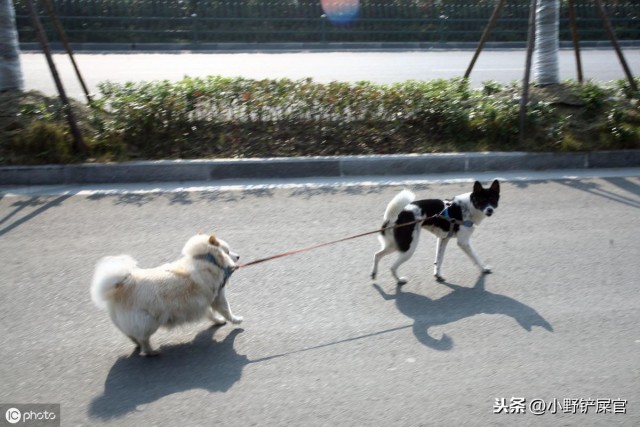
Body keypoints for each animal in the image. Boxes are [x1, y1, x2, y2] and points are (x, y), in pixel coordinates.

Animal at [89, 232, 241, 356]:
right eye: (228, 251)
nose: (238, 256)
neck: (206, 259)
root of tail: (122, 284)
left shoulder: (204, 301)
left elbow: (210, 314)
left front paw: (218, 321)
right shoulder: (218, 297)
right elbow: (226, 311)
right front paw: (236, 320)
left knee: (133, 336)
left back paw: (138, 345)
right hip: (149, 321)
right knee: (144, 339)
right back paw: (151, 352)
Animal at [370, 181, 500, 284]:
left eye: (493, 200)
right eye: (482, 201)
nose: (490, 210)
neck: (469, 206)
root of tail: (400, 214)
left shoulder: (443, 239)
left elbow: (439, 259)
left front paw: (438, 274)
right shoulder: (463, 242)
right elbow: (475, 257)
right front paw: (484, 268)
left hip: (396, 245)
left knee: (377, 255)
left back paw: (374, 273)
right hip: (409, 247)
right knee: (392, 267)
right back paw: (399, 280)